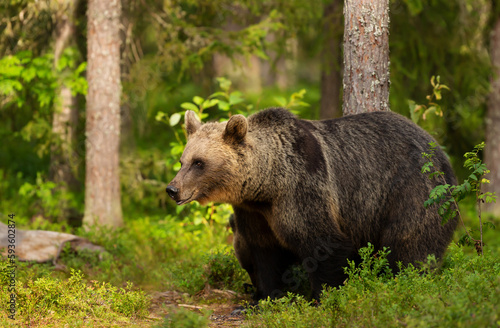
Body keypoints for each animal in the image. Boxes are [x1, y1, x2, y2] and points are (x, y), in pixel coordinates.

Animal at [166, 107, 456, 300]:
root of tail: (438, 148)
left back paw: (407, 281)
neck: (268, 185)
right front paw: (266, 296)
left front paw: (321, 298)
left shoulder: (304, 190)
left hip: (412, 191)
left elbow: (323, 244)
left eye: (199, 162)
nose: (172, 189)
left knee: (410, 243)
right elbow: (263, 252)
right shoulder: (252, 213)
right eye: (182, 161)